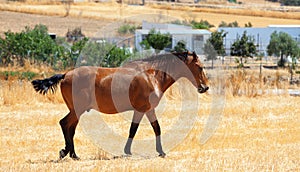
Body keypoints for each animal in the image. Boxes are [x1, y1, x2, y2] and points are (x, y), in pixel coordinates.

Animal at [31, 51, 207, 160]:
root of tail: (66, 75)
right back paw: (66, 152)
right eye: (199, 66)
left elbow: (146, 129)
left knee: (70, 128)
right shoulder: (145, 109)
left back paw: (73, 154)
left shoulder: (145, 110)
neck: (152, 76)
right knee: (64, 124)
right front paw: (157, 152)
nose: (205, 87)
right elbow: (143, 129)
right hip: (77, 110)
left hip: (76, 111)